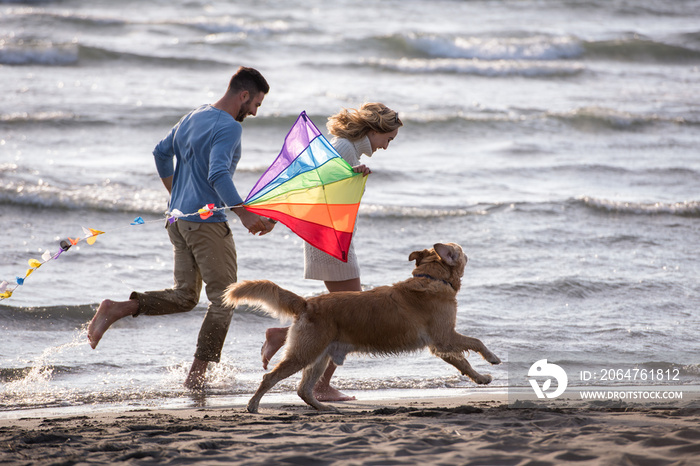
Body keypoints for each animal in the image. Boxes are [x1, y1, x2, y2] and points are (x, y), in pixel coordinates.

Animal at [221, 242, 500, 414]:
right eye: (460, 250)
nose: (467, 251)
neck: (432, 277)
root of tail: (307, 302)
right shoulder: (445, 337)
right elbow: (476, 342)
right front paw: (492, 357)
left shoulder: (439, 344)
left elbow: (463, 362)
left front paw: (480, 378)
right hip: (304, 353)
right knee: (270, 378)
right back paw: (253, 405)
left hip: (319, 357)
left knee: (303, 389)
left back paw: (323, 408)